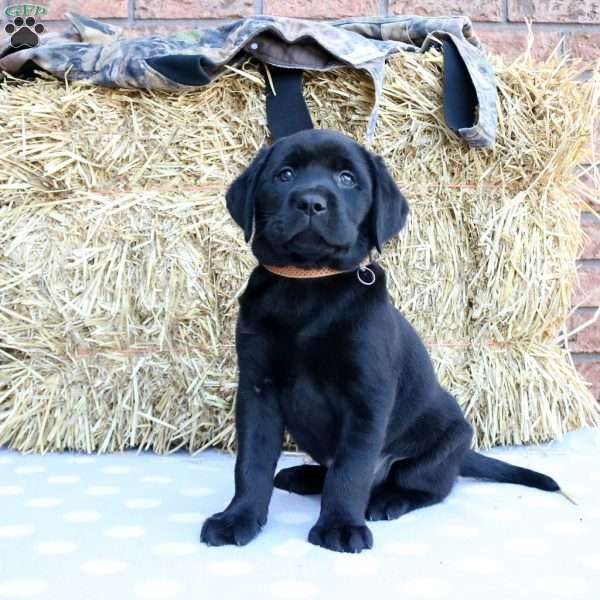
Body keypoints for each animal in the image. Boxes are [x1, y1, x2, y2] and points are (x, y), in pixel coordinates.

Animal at [200, 130, 564, 552]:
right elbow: (252, 464)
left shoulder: (367, 396)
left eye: (346, 178)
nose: (311, 202)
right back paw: (302, 476)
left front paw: (341, 525)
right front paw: (237, 518)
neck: (308, 286)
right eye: (285, 174)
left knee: (426, 485)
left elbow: (351, 470)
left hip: (449, 437)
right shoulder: (258, 389)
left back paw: (388, 500)